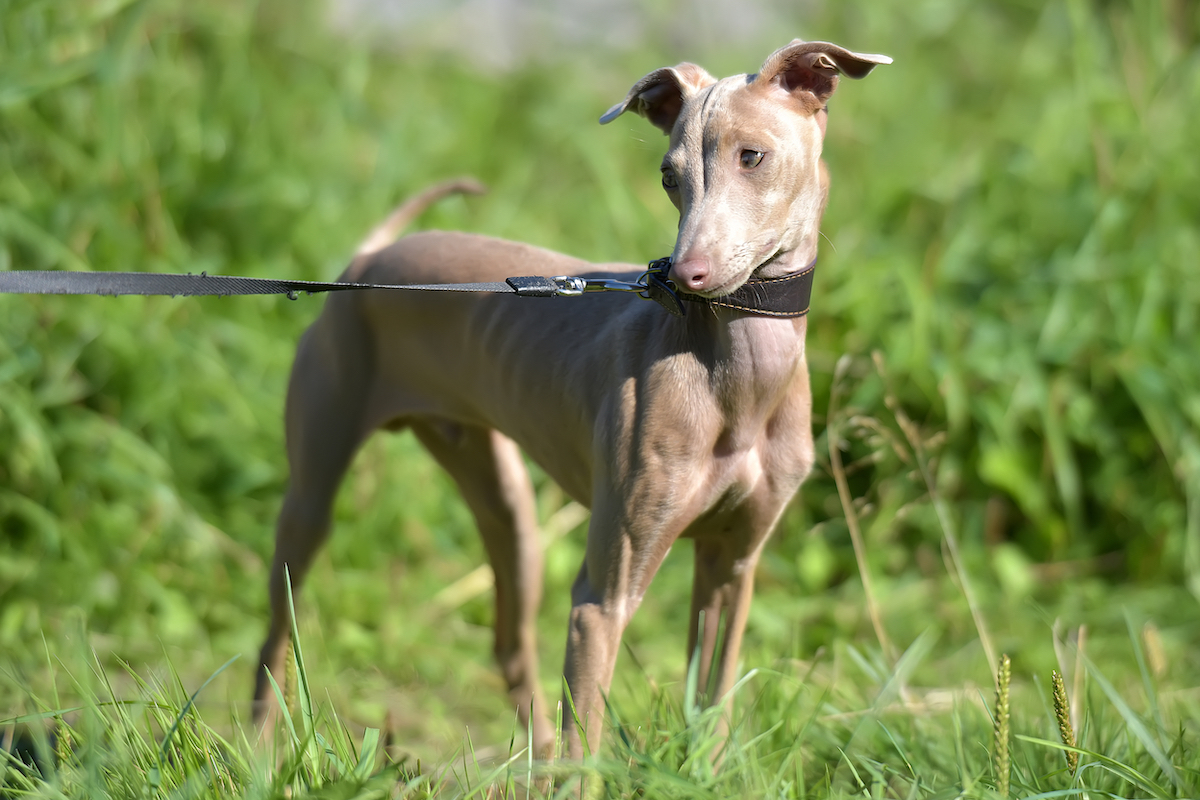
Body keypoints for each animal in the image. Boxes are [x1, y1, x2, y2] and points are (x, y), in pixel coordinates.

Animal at [255, 40, 892, 762]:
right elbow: (585, 749)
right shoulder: (600, 601)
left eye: (751, 155)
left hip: (510, 512)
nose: (686, 276)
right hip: (312, 497)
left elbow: (712, 707)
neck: (737, 373)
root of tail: (367, 259)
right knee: (276, 634)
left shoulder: (733, 565)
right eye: (668, 175)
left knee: (508, 643)